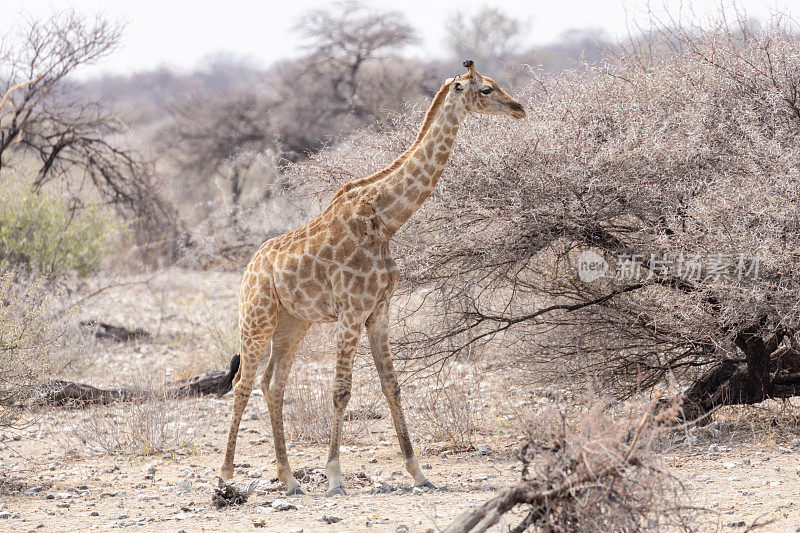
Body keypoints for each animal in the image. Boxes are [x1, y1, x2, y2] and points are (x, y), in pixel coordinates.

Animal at [222, 61, 528, 494]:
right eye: (486, 90)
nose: (518, 108)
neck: (385, 221)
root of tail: (248, 268)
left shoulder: (379, 311)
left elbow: (392, 386)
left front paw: (419, 473)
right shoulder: (352, 312)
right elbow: (341, 391)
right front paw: (334, 476)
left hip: (293, 322)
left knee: (272, 384)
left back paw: (288, 478)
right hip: (257, 316)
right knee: (243, 383)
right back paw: (227, 473)